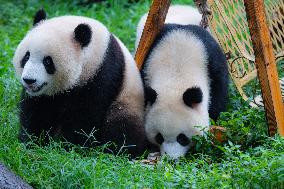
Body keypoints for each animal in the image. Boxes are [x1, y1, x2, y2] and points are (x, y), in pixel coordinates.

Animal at [12, 9, 149, 157]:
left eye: (47, 62)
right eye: (26, 57)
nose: (29, 80)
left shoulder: (102, 74)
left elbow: (85, 115)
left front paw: (67, 146)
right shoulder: (42, 95)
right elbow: (38, 110)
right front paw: (32, 141)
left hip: (127, 102)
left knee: (122, 128)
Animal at [136, 6, 230, 159]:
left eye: (182, 138)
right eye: (159, 137)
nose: (171, 159)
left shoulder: (212, 61)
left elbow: (218, 96)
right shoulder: (147, 62)